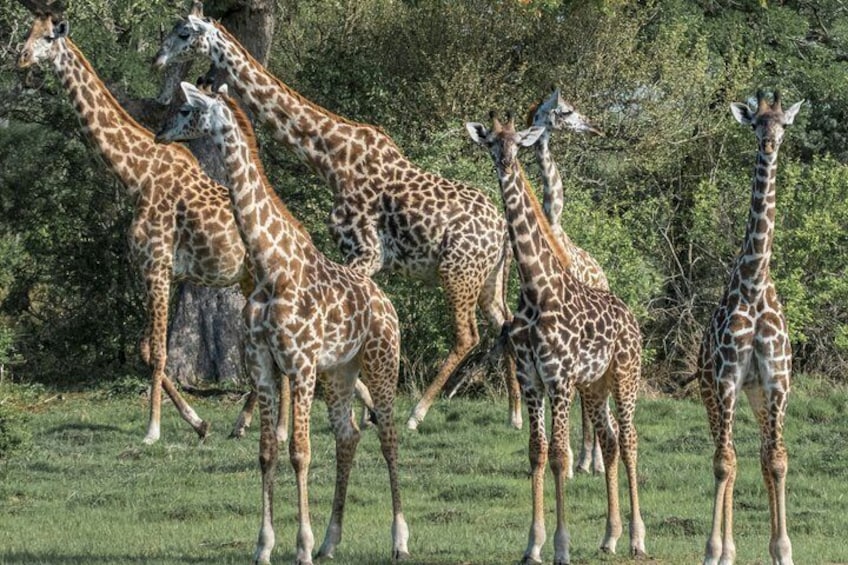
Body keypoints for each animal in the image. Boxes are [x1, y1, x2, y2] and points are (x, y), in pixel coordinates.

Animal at [15, 12, 277, 445]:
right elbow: (144, 349)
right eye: (28, 32)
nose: (20, 58)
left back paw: (254, 423)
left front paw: (152, 430)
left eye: (49, 37)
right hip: (244, 280)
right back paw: (244, 423)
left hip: (256, 279)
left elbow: (158, 352)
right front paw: (198, 422)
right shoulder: (155, 270)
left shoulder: (157, 266)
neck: (135, 175)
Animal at [153, 5, 523, 431]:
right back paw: (515, 415)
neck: (330, 157)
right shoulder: (359, 256)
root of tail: (501, 231)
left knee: (467, 336)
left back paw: (417, 414)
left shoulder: (366, 251)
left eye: (183, 33)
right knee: (505, 323)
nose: (157, 59)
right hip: (488, 279)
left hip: (456, 272)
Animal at [155, 81, 409, 565]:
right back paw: (332, 539)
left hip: (380, 360)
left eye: (186, 109)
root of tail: (386, 301)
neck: (271, 266)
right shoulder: (263, 365)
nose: (159, 134)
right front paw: (265, 545)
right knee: (348, 434)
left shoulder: (300, 365)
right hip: (340, 370)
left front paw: (301, 547)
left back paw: (399, 539)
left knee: (387, 435)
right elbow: (268, 451)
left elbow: (300, 452)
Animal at [467, 113, 646, 564]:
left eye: (518, 142)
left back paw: (637, 538)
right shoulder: (532, 379)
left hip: (625, 375)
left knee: (630, 439)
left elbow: (561, 456)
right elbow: (537, 451)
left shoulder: (559, 379)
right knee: (611, 439)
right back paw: (610, 537)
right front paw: (533, 544)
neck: (536, 289)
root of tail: (632, 317)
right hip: (596, 385)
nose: (505, 162)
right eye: (491, 142)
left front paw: (561, 547)